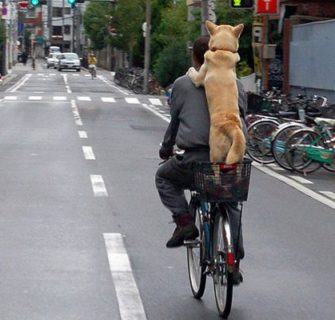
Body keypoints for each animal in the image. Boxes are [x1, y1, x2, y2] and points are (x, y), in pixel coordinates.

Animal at [189, 21, 247, 164]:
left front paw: (189, 69)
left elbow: (193, 73)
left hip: (215, 153)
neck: (223, 49)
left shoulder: (199, 78)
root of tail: (232, 126)